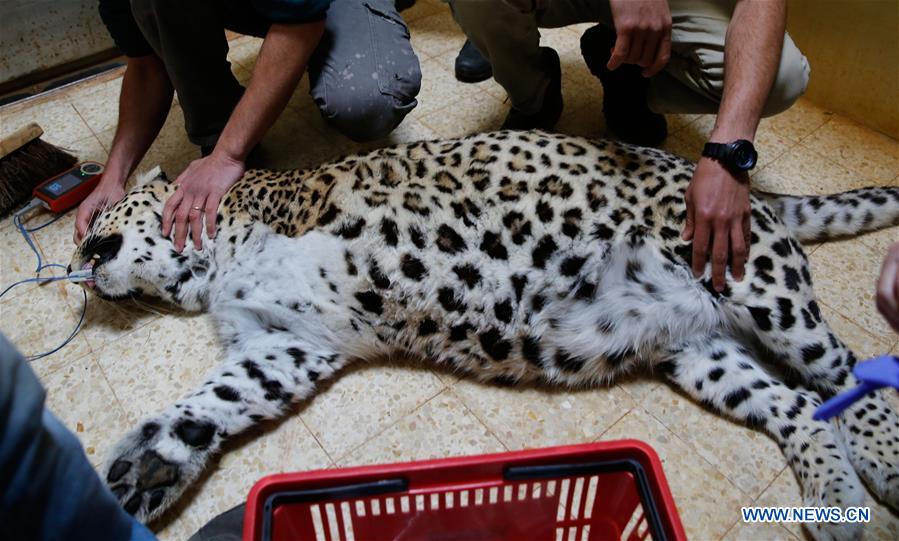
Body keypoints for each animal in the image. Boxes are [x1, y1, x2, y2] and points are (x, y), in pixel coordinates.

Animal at [72, 132, 899, 540]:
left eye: (100, 220)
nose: (76, 263)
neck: (210, 263)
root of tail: (760, 199)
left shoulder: (303, 239)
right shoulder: (285, 342)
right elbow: (214, 401)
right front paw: (146, 468)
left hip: (759, 286)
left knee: (846, 370)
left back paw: (880, 467)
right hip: (698, 350)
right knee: (796, 404)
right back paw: (834, 501)